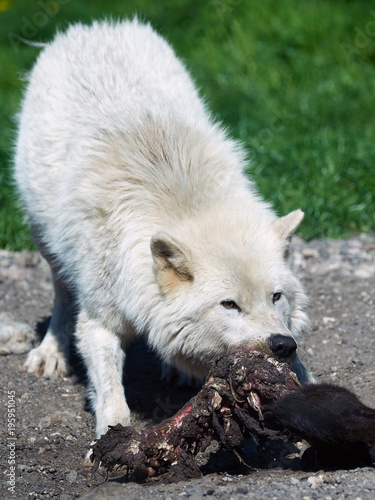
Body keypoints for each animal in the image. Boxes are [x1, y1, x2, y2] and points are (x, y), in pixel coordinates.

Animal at [14, 18, 314, 438]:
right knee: (61, 294)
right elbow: (111, 394)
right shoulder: (99, 321)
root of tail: (95, 26)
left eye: (276, 297)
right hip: (47, 242)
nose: (282, 345)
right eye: (229, 304)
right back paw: (50, 351)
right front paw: (111, 439)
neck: (187, 205)